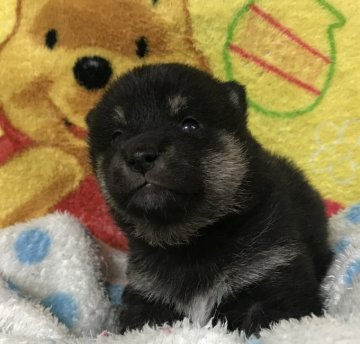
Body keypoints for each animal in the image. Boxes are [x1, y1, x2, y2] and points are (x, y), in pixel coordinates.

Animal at [86, 63, 332, 336]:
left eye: (190, 125)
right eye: (116, 135)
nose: (140, 155)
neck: (191, 242)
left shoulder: (275, 275)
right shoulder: (148, 297)